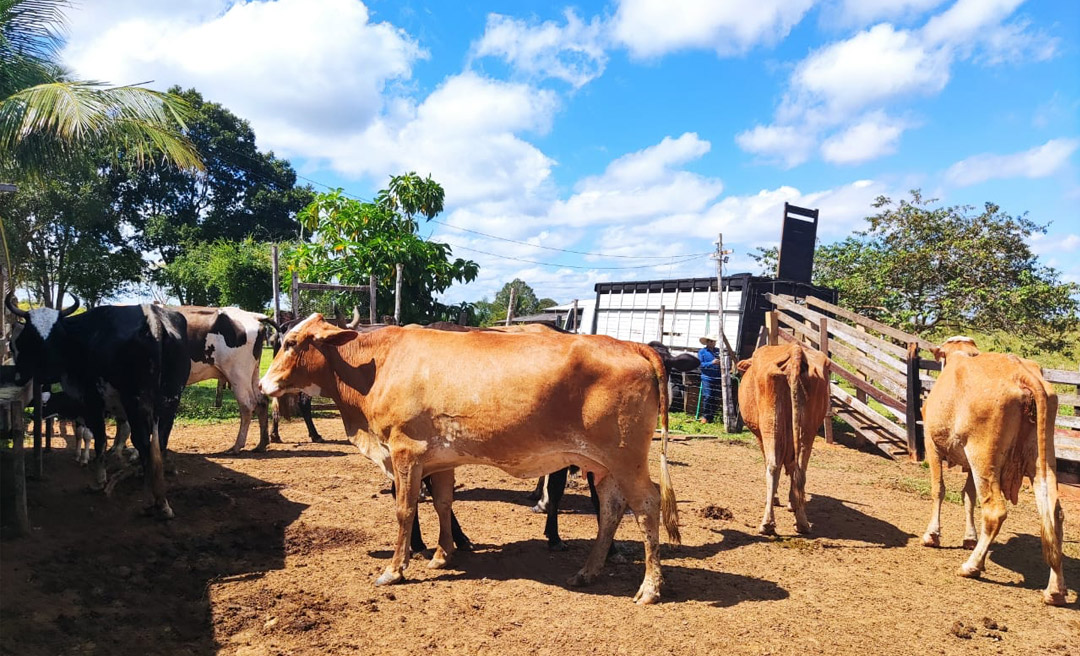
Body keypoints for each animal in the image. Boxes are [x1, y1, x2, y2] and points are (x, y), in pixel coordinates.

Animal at [6, 293, 190, 518]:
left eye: (18, 343)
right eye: (30, 338)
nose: (21, 377)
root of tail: (153, 318)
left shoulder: (92, 402)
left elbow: (99, 439)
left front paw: (98, 480)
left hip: (136, 402)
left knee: (143, 443)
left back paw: (151, 499)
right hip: (170, 401)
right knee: (160, 442)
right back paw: (159, 497)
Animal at [258, 313, 678, 605]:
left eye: (292, 342)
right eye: (279, 339)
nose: (262, 385)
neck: (377, 366)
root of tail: (630, 345)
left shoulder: (405, 452)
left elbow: (405, 510)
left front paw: (395, 569)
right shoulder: (441, 460)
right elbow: (444, 503)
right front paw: (443, 553)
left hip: (626, 459)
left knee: (646, 505)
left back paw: (650, 588)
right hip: (602, 467)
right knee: (610, 509)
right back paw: (588, 571)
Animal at [738, 341, 829, 536]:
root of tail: (795, 351)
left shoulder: (760, 437)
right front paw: (792, 502)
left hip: (770, 425)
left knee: (773, 467)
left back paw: (767, 524)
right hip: (806, 430)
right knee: (801, 471)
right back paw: (802, 522)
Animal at [915, 339, 1067, 605]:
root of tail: (1020, 373)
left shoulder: (931, 444)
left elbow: (938, 490)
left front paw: (932, 535)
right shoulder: (967, 463)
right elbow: (968, 496)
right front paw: (969, 538)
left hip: (983, 456)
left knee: (994, 510)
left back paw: (971, 566)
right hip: (1040, 459)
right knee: (1053, 514)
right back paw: (1055, 590)